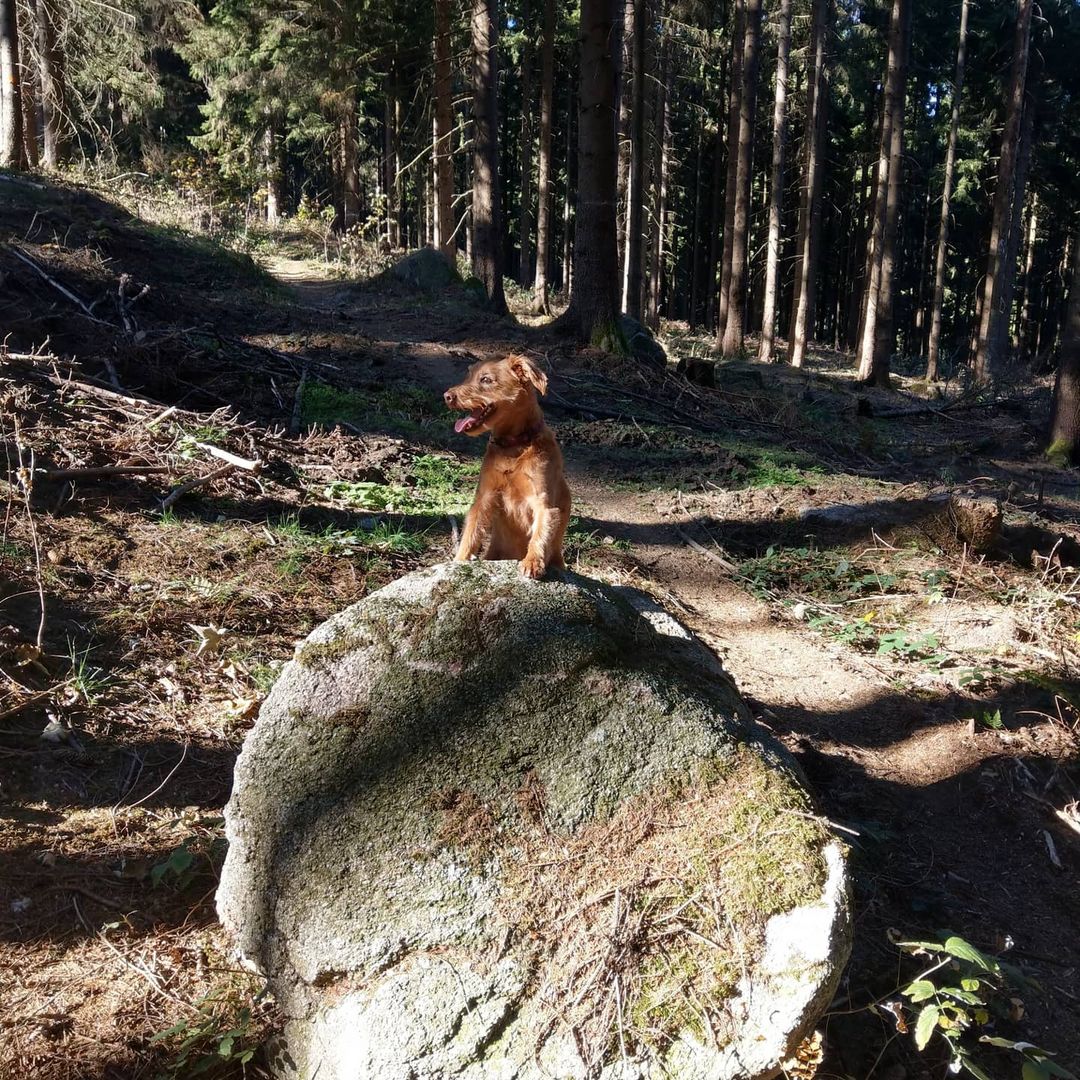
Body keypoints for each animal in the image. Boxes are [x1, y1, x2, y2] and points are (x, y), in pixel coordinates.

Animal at [442, 354, 574, 578]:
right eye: (468, 375)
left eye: (486, 379)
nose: (447, 396)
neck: (514, 446)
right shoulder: (484, 497)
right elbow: (471, 533)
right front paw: (458, 561)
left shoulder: (543, 502)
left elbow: (540, 533)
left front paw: (532, 561)